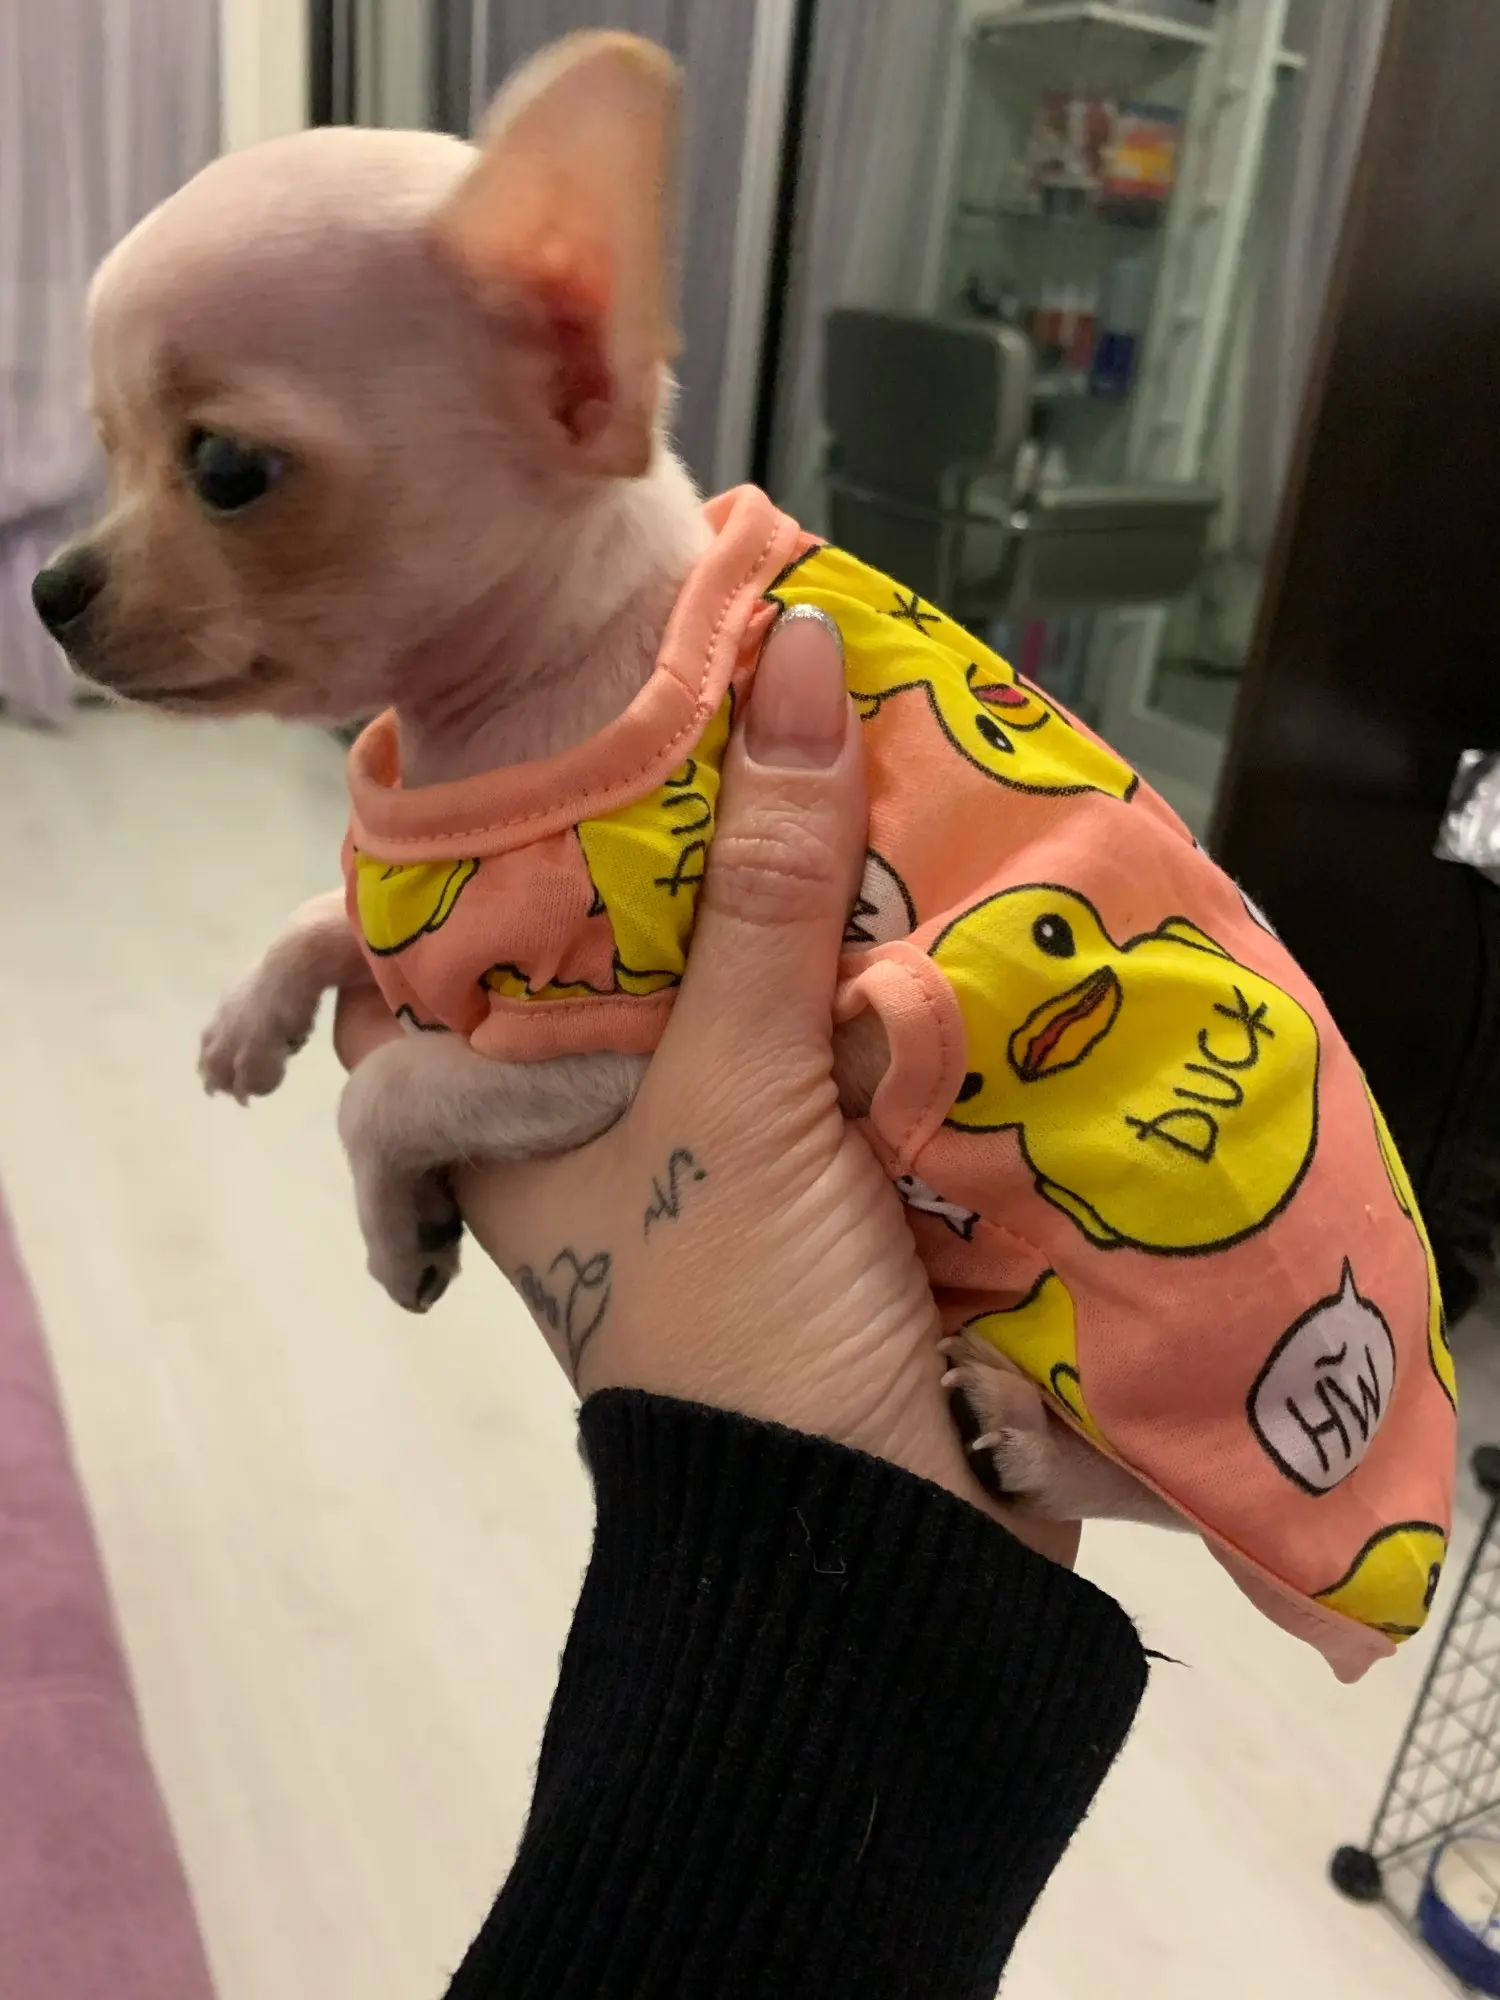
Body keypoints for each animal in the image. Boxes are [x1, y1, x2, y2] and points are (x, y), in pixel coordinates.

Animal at [36, 32, 1454, 1675]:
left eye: (224, 469)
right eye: (107, 450)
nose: (49, 587)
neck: (529, 693)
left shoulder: (602, 1043)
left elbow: (387, 1089)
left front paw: (401, 1231)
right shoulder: (423, 913)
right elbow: (328, 916)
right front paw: (251, 1016)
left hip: (1206, 1354)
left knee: (1201, 1510)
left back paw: (1031, 1433)